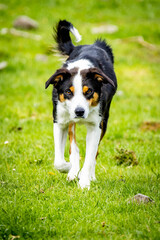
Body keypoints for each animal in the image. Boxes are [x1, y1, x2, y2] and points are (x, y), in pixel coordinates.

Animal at [45, 20, 117, 189]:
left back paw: (89, 175)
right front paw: (68, 168)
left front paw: (84, 181)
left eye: (88, 91)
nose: (79, 112)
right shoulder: (60, 121)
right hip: (70, 121)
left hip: (105, 119)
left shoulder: (96, 126)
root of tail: (93, 44)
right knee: (74, 147)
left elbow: (91, 156)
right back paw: (72, 170)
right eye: (68, 91)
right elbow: (59, 161)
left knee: (94, 152)